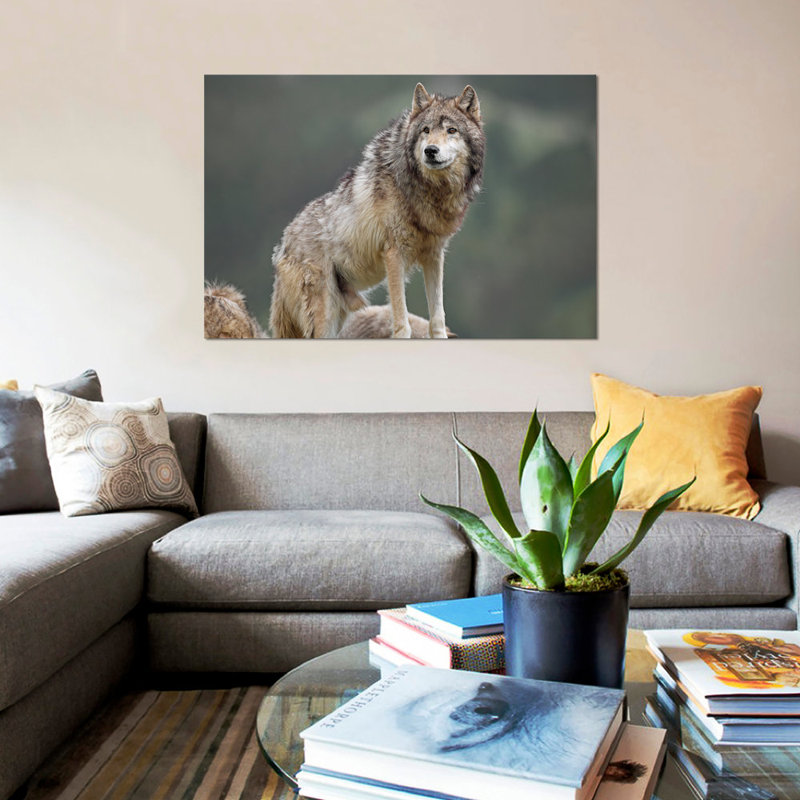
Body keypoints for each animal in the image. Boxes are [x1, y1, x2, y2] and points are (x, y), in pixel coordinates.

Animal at [269, 82, 484, 339]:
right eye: (425, 130)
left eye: (452, 130)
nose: (430, 150)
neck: (428, 191)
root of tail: (283, 245)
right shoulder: (394, 255)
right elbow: (402, 321)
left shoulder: (434, 256)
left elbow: (437, 318)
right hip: (324, 317)